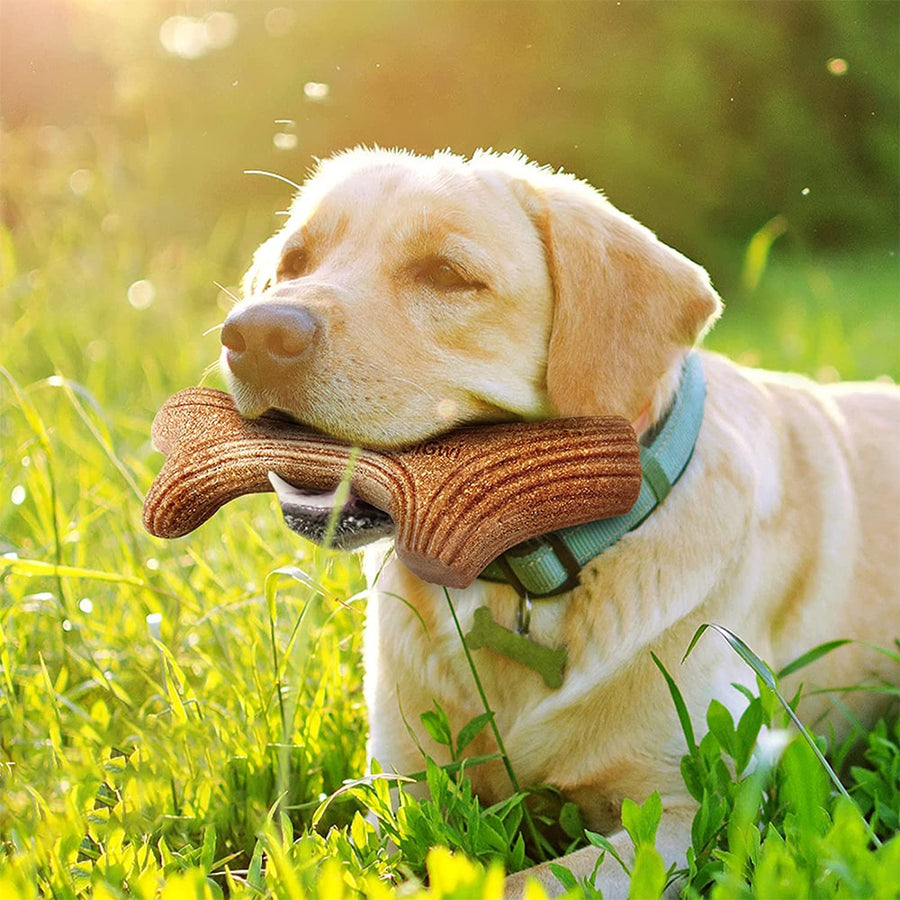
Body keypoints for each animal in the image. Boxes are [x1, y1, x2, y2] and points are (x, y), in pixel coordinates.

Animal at [220, 148, 900, 892]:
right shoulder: (399, 789)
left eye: (447, 274)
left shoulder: (684, 814)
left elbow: (527, 880)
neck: (521, 583)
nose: (254, 333)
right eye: (294, 261)